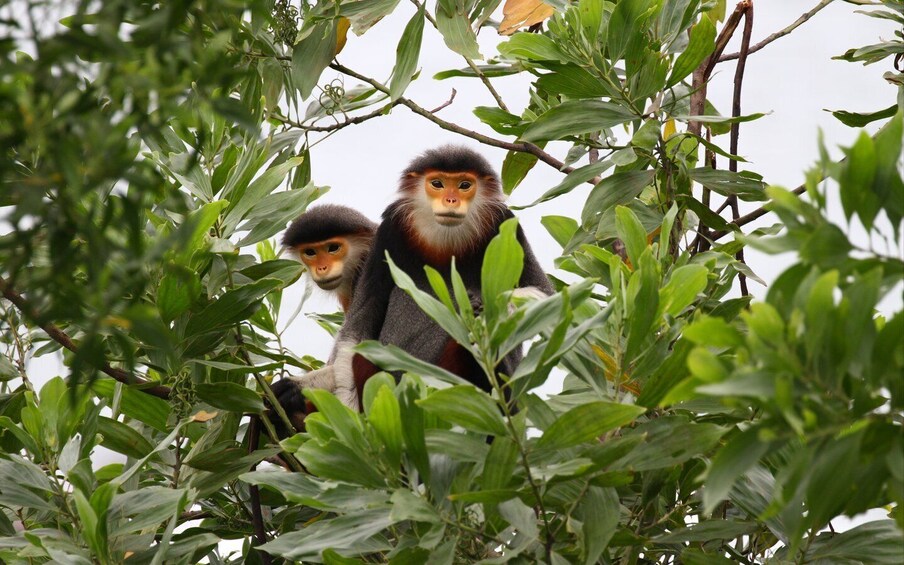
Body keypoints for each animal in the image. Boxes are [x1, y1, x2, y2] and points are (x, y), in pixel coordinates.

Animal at [287, 145, 553, 412]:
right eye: (437, 184)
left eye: (464, 185)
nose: (451, 200)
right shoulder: (390, 231)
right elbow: (357, 331)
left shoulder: (506, 224)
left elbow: (544, 295)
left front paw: (486, 307)